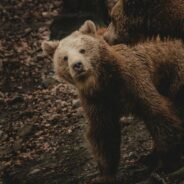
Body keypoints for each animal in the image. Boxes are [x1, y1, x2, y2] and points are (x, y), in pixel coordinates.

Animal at [42, 20, 184, 183]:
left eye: (82, 50)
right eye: (65, 57)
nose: (77, 65)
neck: (104, 80)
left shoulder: (133, 79)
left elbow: (157, 112)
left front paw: (167, 163)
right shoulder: (96, 100)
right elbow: (103, 132)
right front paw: (105, 174)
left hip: (175, 70)